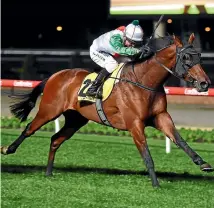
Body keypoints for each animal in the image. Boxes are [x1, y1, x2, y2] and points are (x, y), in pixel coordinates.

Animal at [1, 33, 212, 187]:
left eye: (199, 56)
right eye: (185, 57)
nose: (204, 83)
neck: (144, 82)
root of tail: (55, 76)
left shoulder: (160, 117)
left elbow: (179, 140)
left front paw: (203, 163)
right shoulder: (134, 124)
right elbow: (146, 154)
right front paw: (155, 183)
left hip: (76, 119)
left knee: (55, 139)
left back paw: (48, 172)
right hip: (49, 111)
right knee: (29, 129)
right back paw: (8, 149)